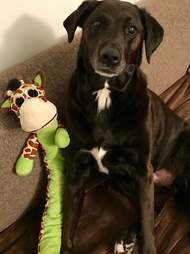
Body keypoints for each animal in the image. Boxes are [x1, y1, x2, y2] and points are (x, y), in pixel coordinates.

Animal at [63, 0, 190, 253]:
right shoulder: (76, 172)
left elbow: (149, 232)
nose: (110, 57)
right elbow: (67, 231)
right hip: (123, 181)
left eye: (132, 30)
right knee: (155, 209)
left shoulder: (142, 172)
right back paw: (127, 237)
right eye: (96, 23)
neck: (104, 95)